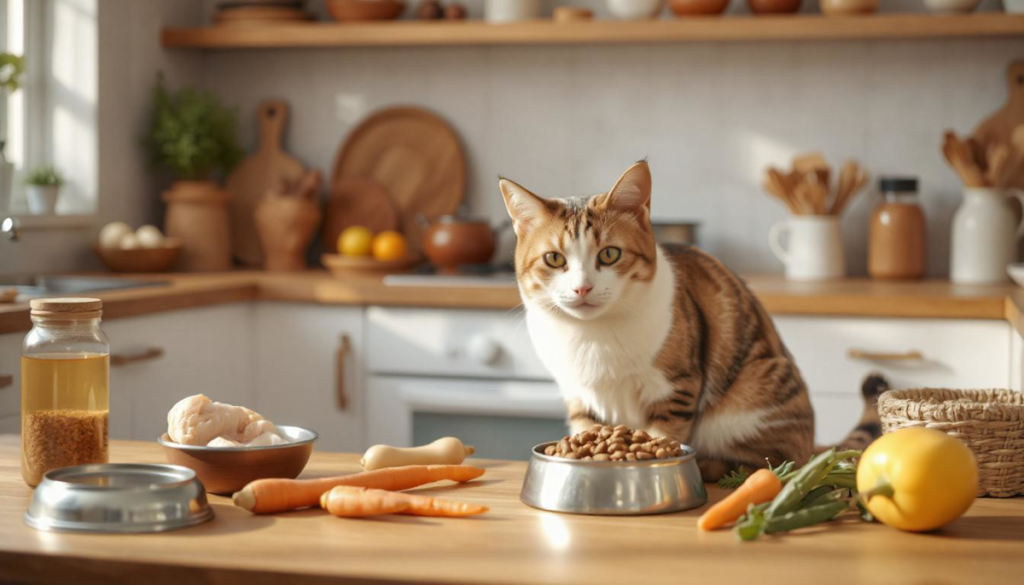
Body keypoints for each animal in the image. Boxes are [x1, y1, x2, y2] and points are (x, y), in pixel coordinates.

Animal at [497, 161, 880, 481]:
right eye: (554, 259)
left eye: (609, 254)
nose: (582, 288)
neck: (592, 336)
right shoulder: (579, 397)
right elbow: (585, 430)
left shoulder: (675, 387)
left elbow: (663, 436)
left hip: (753, 399)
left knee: (768, 461)